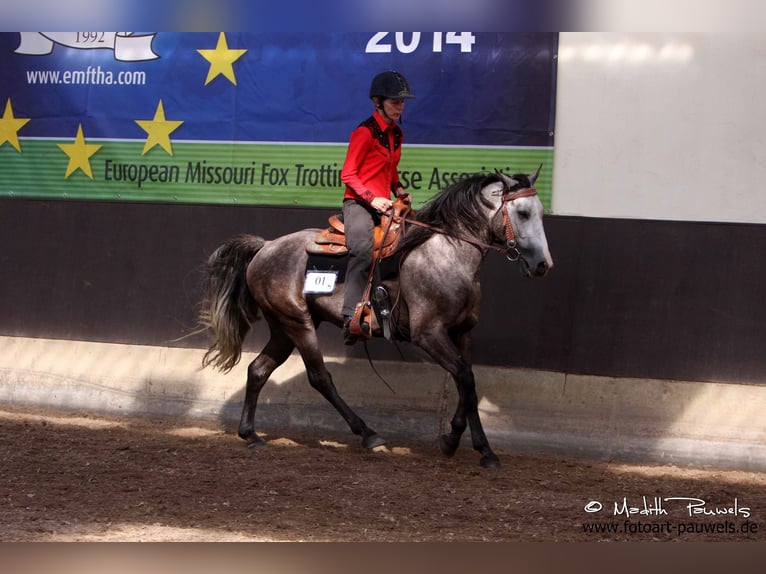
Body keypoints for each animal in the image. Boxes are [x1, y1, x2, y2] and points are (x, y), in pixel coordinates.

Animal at [201, 168, 556, 468]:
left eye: (540, 213)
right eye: (522, 213)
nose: (543, 265)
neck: (447, 254)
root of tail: (266, 246)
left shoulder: (463, 332)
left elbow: (466, 380)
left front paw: (452, 438)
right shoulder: (428, 334)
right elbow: (464, 378)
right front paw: (484, 450)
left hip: (283, 329)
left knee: (258, 370)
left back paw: (251, 435)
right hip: (298, 325)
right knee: (320, 377)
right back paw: (368, 433)